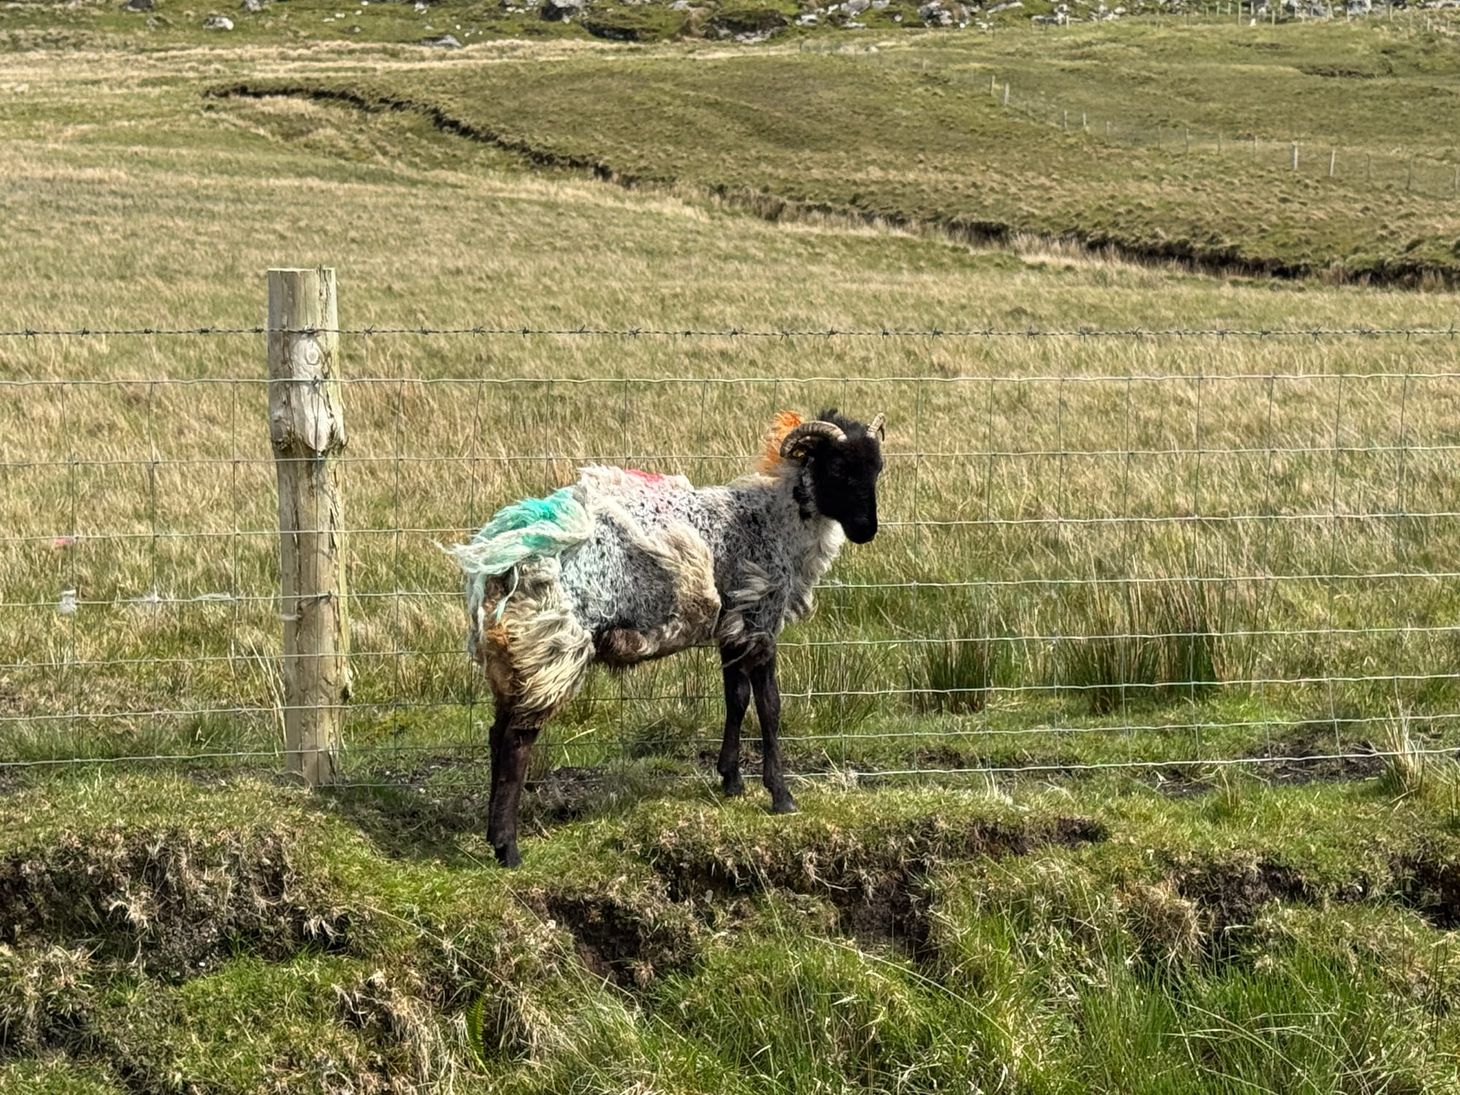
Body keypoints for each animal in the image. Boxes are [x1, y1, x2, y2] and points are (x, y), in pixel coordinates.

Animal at [448, 408, 886, 867]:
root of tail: (502, 559)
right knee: (518, 740)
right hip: (553, 646)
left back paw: (493, 835)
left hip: (514, 655)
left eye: (877, 468)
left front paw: (731, 780)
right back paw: (508, 848)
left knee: (497, 732)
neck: (776, 518)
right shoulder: (759, 618)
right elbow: (769, 707)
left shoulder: (731, 627)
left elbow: (736, 698)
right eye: (837, 468)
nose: (866, 530)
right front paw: (781, 795)